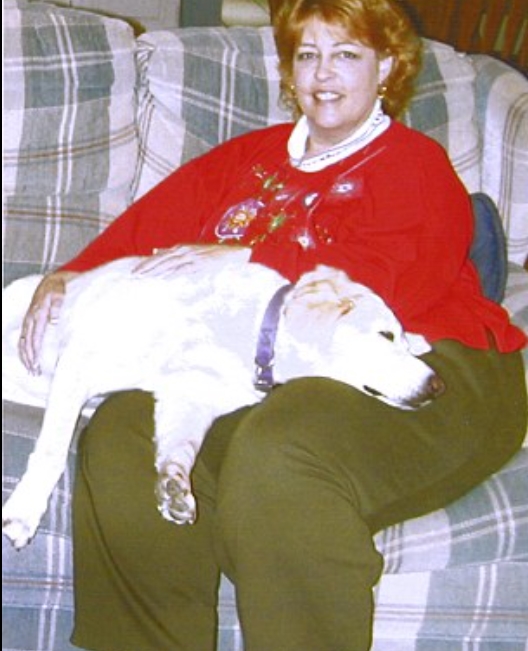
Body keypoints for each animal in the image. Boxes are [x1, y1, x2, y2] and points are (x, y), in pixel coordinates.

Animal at [2, 248, 444, 549]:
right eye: (385, 335)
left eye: (405, 341)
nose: (437, 385)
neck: (242, 336)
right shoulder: (80, 363)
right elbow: (51, 453)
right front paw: (24, 512)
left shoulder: (187, 399)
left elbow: (180, 451)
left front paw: (176, 488)